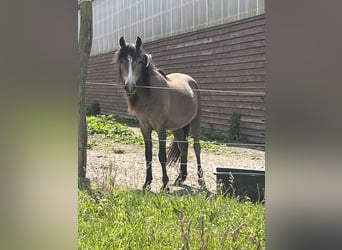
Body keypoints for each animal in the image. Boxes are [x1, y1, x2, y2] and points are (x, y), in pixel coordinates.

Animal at [113, 35, 204, 191]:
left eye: (139, 61)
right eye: (121, 61)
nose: (130, 87)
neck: (150, 94)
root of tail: (191, 81)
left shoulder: (161, 129)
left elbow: (162, 156)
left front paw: (164, 184)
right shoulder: (144, 128)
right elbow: (148, 155)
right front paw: (147, 183)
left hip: (195, 121)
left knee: (196, 147)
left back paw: (200, 180)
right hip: (177, 127)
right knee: (184, 147)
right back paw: (180, 178)